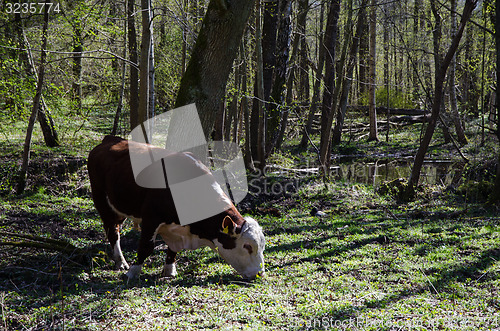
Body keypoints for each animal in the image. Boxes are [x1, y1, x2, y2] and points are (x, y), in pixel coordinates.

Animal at [88, 136, 266, 282]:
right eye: (248, 246)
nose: (260, 273)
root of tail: (111, 139)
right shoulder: (151, 218)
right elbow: (146, 246)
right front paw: (133, 272)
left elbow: (172, 250)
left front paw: (169, 270)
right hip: (102, 201)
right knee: (113, 231)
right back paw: (121, 261)